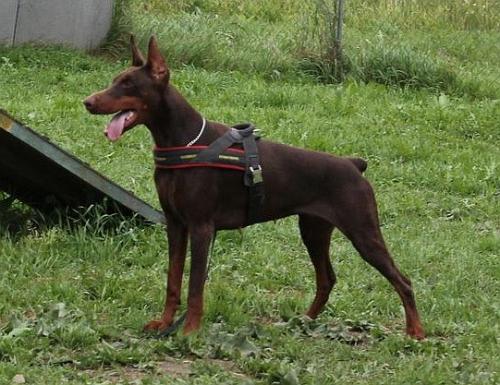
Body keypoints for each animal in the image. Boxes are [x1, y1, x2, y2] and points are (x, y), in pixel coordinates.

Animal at [83, 36, 426, 340]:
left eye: (128, 84)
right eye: (115, 80)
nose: (87, 102)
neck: (183, 139)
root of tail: (353, 164)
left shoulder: (202, 227)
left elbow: (195, 287)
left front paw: (189, 331)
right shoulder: (175, 224)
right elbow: (173, 281)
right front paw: (164, 323)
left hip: (362, 231)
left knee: (403, 280)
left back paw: (415, 332)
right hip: (313, 229)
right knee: (327, 279)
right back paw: (303, 321)